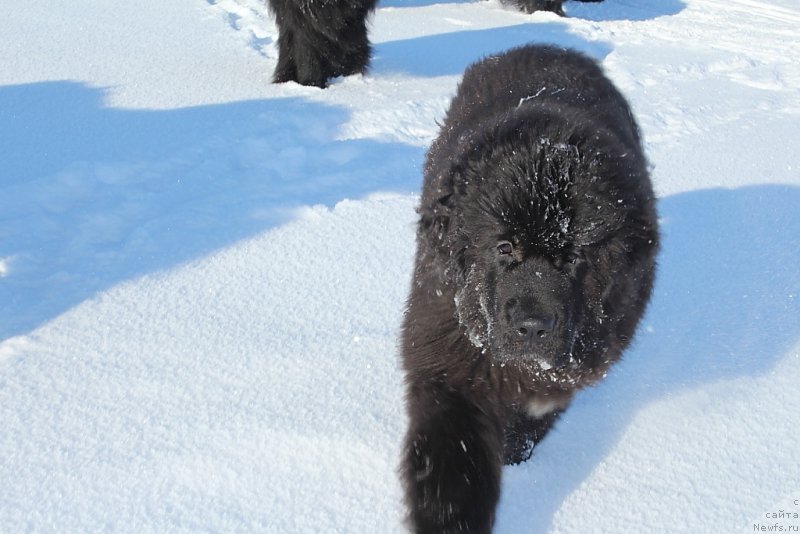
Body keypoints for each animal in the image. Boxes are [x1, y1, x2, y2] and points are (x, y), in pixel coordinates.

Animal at [398, 46, 656, 534]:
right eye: (504, 247)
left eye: (573, 257)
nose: (533, 326)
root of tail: (548, 47)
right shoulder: (448, 360)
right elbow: (452, 457)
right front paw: (448, 516)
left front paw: (515, 453)